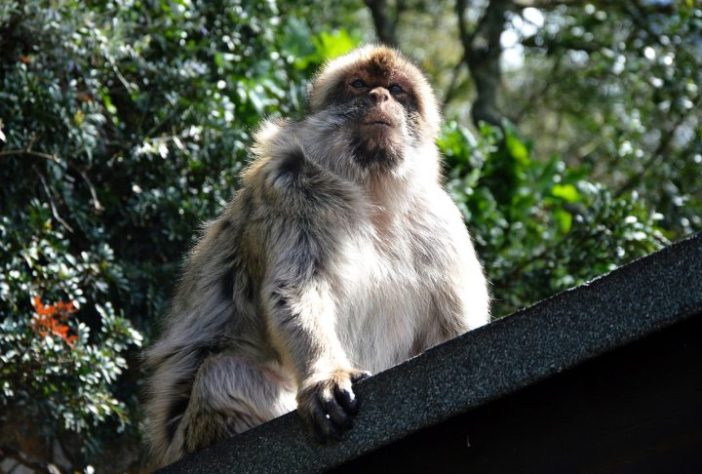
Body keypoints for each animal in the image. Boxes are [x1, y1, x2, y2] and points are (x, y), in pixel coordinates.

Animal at [143, 45, 490, 469]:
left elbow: (453, 321)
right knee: (222, 377)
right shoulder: (291, 188)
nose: (379, 96)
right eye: (358, 84)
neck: (373, 193)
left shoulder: (440, 219)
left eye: (396, 89)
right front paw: (325, 375)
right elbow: (295, 288)